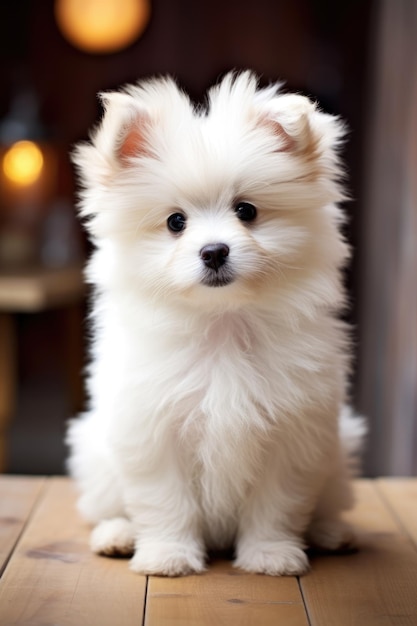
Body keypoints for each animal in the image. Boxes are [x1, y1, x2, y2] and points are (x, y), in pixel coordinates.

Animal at [66, 72, 364, 576]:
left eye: (246, 211)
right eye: (175, 222)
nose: (214, 251)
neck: (223, 322)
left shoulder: (294, 432)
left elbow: (278, 502)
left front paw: (270, 554)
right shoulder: (153, 430)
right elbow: (164, 500)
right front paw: (167, 555)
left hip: (337, 453)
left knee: (326, 502)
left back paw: (330, 533)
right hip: (96, 455)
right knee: (105, 507)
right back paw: (118, 535)